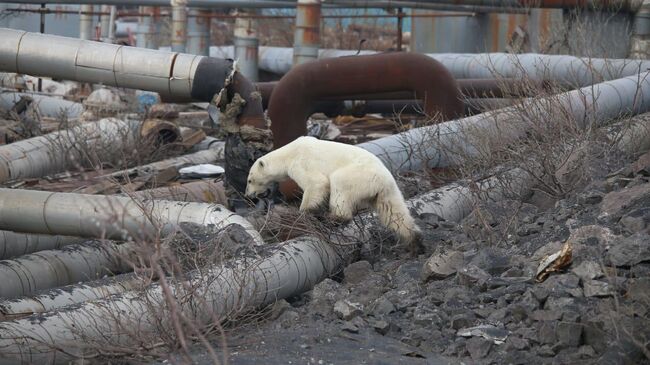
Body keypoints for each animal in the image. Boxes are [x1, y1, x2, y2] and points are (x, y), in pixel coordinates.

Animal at [246, 135, 422, 252]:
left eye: (249, 180)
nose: (248, 195)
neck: (288, 154)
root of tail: (384, 179)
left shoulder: (301, 163)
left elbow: (317, 183)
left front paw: (304, 214)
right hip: (385, 191)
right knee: (394, 213)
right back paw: (413, 240)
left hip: (358, 175)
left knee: (339, 184)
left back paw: (333, 218)